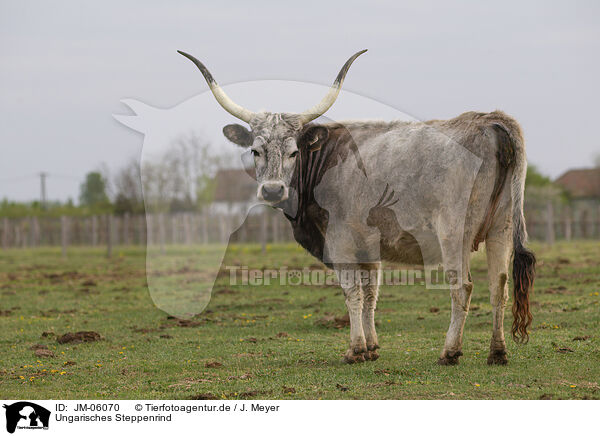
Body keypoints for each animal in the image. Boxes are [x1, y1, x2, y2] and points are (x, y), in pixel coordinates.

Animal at [177, 49, 536, 366]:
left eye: (294, 152)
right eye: (255, 150)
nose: (273, 189)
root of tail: (491, 121)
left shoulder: (340, 242)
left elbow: (352, 292)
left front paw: (355, 350)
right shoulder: (369, 247)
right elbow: (370, 293)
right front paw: (372, 347)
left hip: (453, 232)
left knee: (462, 287)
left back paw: (450, 352)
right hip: (501, 227)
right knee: (499, 286)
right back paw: (497, 352)